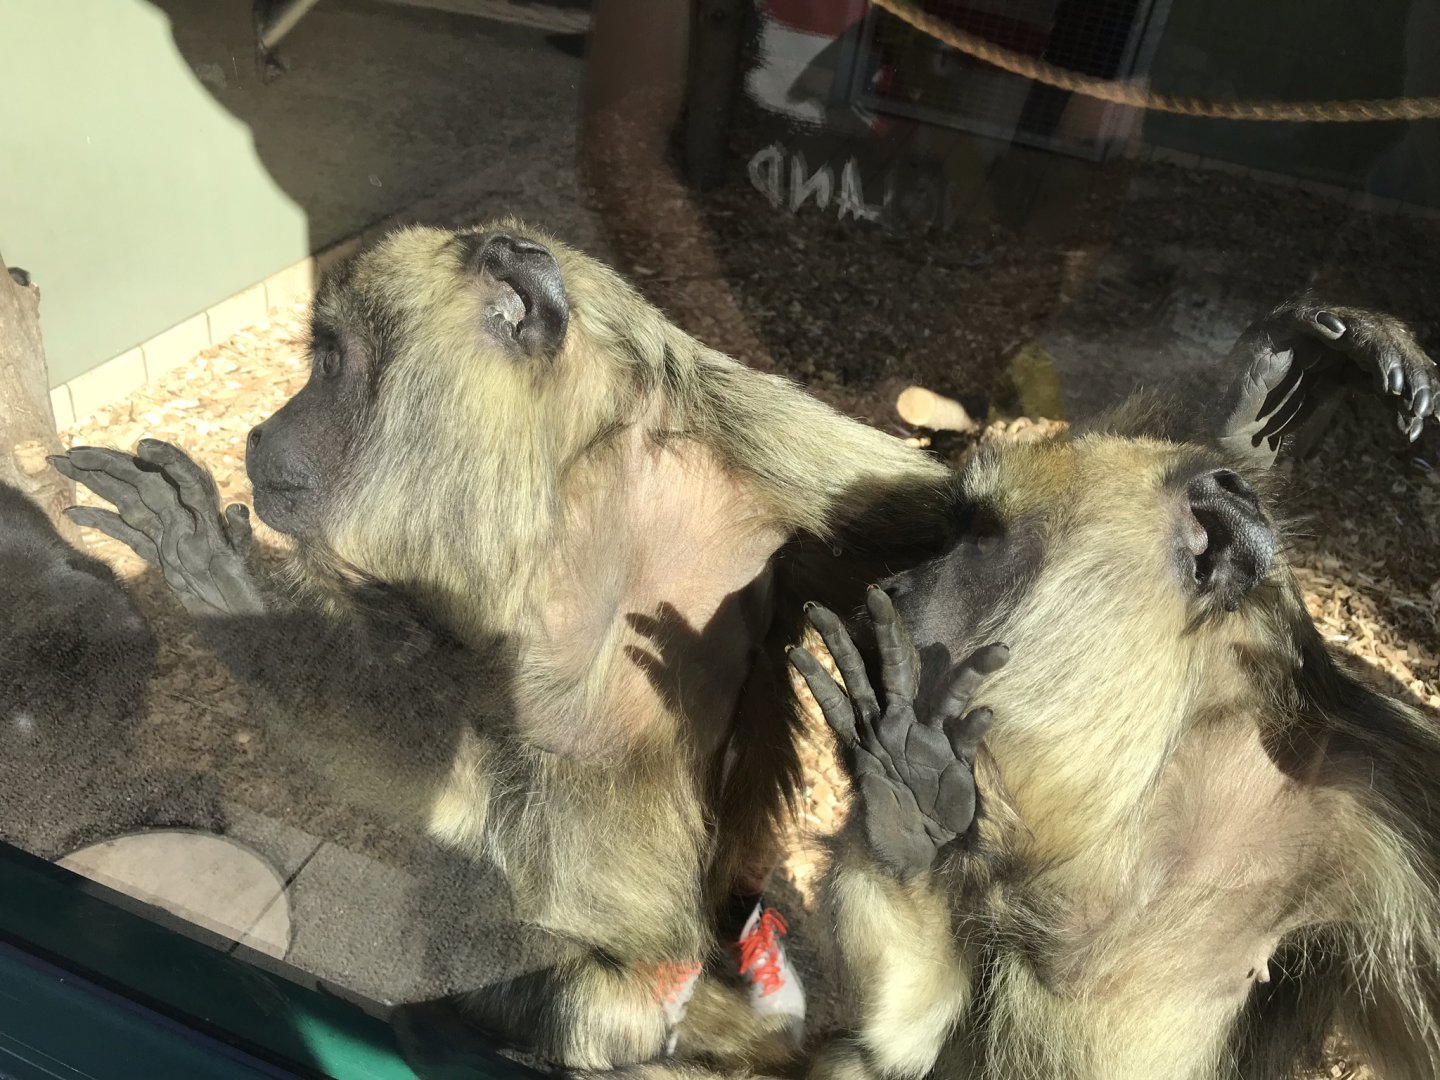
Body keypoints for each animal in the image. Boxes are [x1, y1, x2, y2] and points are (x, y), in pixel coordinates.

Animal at [788, 305, 1440, 1080]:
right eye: (951, 534)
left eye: (982, 537)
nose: (897, 584)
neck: (1151, 790)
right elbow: (899, 1043)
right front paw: (906, 806)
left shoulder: (1385, 809)